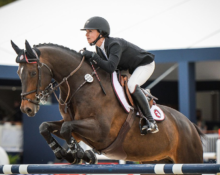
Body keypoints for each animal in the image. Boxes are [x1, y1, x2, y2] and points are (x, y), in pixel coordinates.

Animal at [11, 40, 204, 174]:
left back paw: (150, 124)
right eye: (18, 73)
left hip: (189, 158)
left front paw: (78, 154)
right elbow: (45, 127)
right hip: (159, 161)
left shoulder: (101, 131)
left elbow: (66, 128)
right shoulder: (77, 128)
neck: (82, 84)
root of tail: (190, 125)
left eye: (33, 73)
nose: (27, 109)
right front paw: (68, 154)